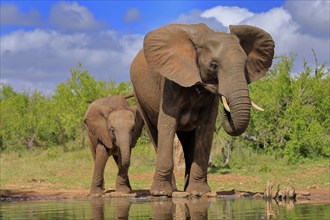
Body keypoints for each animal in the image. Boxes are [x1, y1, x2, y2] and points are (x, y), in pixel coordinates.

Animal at [130, 23, 274, 197]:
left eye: (245, 64)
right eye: (214, 66)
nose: (227, 108)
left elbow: (205, 128)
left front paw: (199, 193)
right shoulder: (170, 81)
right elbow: (167, 124)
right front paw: (161, 193)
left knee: (188, 142)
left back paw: (186, 189)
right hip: (139, 96)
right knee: (155, 134)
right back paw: (172, 189)